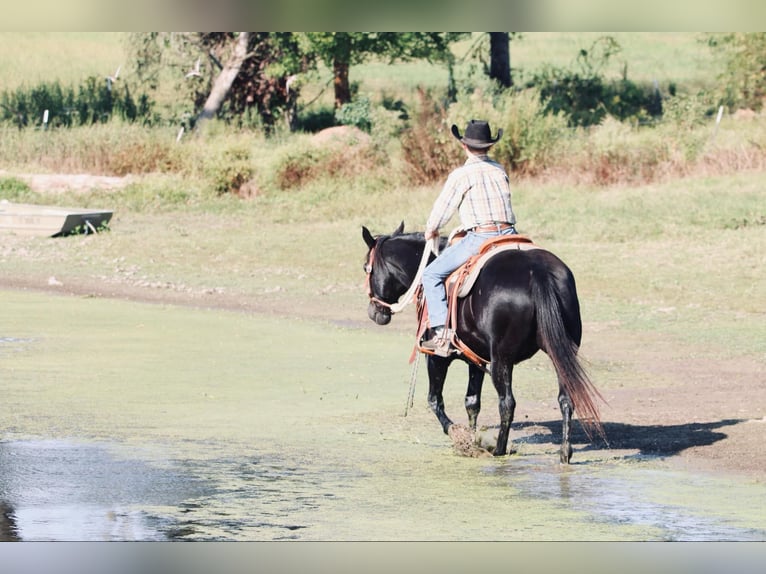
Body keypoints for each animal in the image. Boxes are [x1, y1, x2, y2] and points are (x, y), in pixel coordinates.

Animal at [364, 223, 608, 466]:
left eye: (366, 267)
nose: (374, 312)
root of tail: (537, 272)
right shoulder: (475, 358)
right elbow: (472, 402)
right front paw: (472, 439)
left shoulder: (436, 357)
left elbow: (435, 400)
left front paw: (459, 436)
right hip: (561, 353)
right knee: (566, 399)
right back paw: (564, 452)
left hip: (502, 359)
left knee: (507, 403)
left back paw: (499, 450)